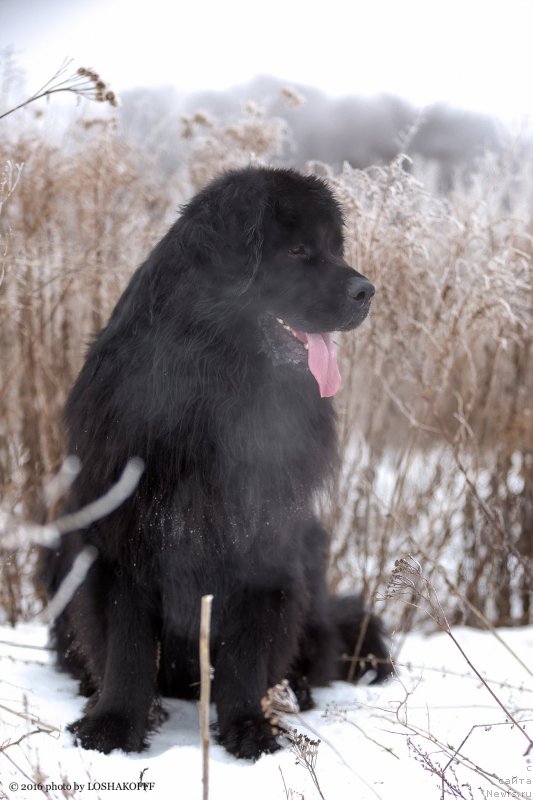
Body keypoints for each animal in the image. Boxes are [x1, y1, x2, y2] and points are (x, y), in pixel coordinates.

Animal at [40, 167, 390, 756]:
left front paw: (250, 728)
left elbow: (246, 653)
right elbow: (127, 647)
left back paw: (292, 691)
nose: (367, 290)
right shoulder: (121, 536)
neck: (216, 387)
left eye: (334, 250)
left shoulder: (263, 542)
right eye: (297, 250)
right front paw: (112, 726)